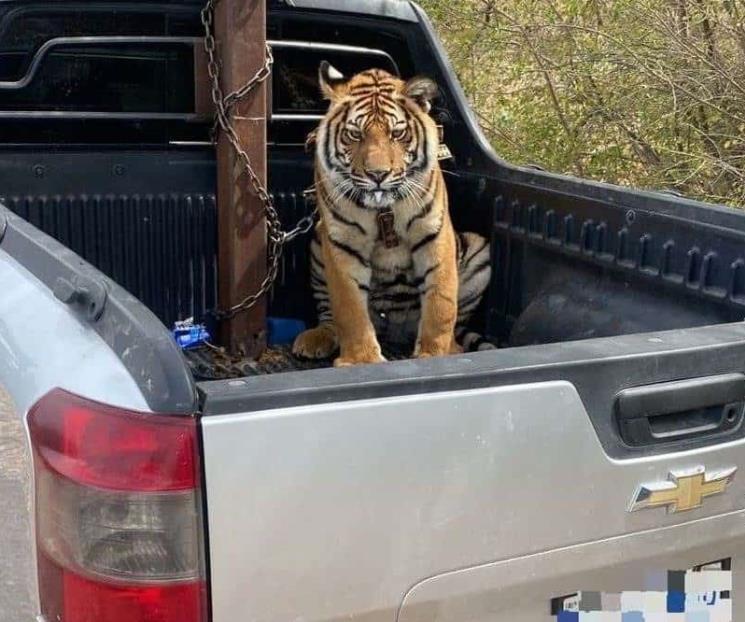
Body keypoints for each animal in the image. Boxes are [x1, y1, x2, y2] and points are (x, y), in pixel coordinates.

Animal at [292, 62, 491, 367]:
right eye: (355, 135)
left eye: (397, 134)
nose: (378, 175)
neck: (382, 209)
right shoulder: (342, 243)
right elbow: (349, 309)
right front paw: (361, 360)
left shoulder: (434, 234)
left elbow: (441, 303)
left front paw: (435, 355)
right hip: (317, 240)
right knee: (329, 316)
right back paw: (316, 339)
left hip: (479, 249)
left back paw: (454, 347)